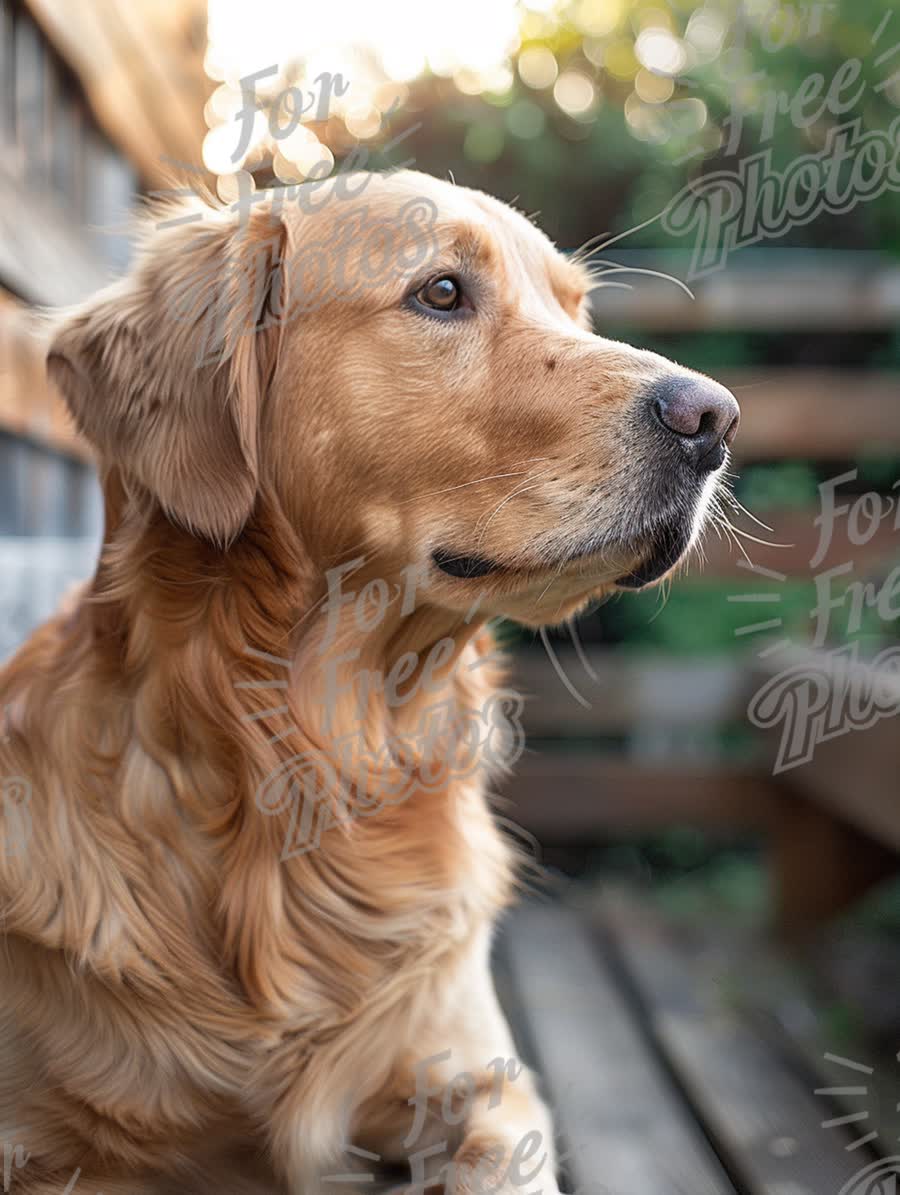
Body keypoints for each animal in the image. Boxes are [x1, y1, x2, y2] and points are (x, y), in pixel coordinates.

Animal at [0, 170, 736, 1195]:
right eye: (442, 292)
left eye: (574, 309)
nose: (716, 417)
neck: (312, 774)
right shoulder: (40, 1141)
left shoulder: (490, 1086)